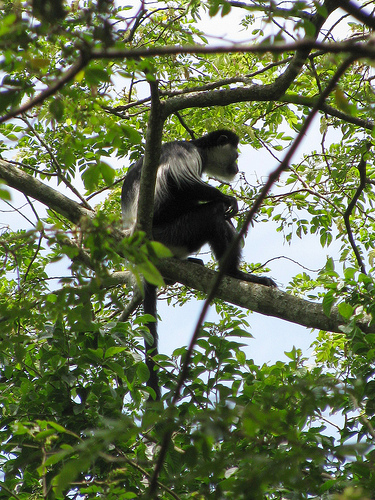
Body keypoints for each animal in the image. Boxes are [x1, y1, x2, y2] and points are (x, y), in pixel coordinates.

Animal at [122, 131, 276, 400]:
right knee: (213, 213)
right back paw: (236, 274)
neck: (199, 148)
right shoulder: (185, 152)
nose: (237, 167)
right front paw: (227, 198)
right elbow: (183, 184)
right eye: (235, 155)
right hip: (173, 234)